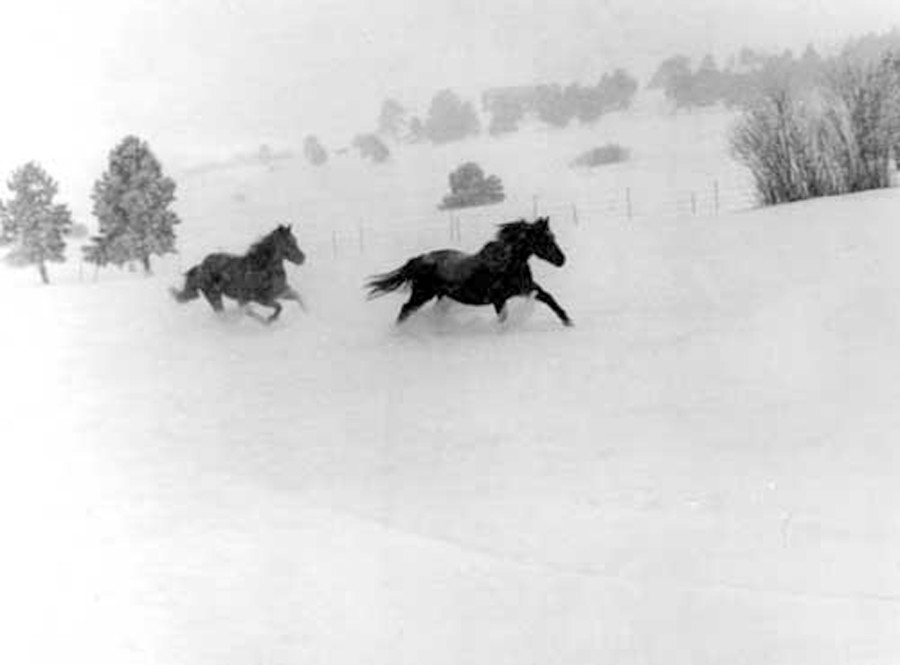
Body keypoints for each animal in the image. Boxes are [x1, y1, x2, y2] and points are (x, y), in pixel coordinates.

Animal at [170, 224, 306, 323]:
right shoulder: (261, 298)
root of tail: (200, 267)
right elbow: (279, 307)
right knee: (232, 313)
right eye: (290, 243)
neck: (263, 268)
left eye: (295, 241)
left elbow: (298, 297)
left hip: (234, 299)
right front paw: (271, 319)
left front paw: (308, 313)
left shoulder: (281, 291)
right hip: (215, 296)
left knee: (243, 311)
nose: (302, 258)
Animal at [366, 216, 572, 326]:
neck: (506, 263)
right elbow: (503, 318)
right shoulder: (498, 299)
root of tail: (420, 259)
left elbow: (549, 298)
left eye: (553, 237)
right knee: (405, 309)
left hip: (440, 297)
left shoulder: (527, 288)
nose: (562, 260)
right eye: (544, 240)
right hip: (422, 294)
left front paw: (568, 322)